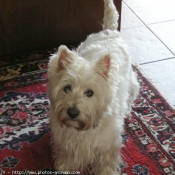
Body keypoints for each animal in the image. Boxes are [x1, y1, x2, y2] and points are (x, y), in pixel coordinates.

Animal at [47, 0, 139, 174]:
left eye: (90, 93)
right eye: (67, 88)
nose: (73, 112)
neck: (81, 130)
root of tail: (109, 30)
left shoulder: (107, 144)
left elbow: (106, 162)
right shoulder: (65, 141)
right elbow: (66, 157)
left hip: (131, 80)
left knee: (133, 92)